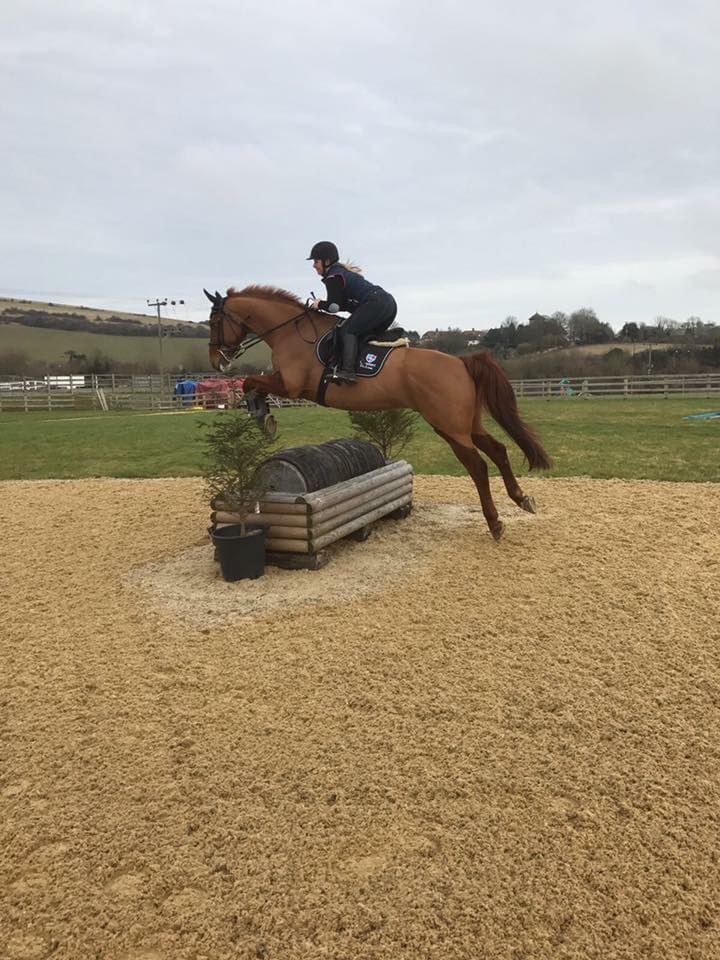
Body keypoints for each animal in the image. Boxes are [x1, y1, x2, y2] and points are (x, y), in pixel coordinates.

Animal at [207, 284, 552, 540]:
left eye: (214, 322)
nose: (216, 361)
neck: (291, 332)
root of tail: (460, 361)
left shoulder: (291, 386)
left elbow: (251, 381)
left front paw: (261, 414)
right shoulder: (288, 386)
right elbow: (253, 383)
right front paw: (261, 414)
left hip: (449, 427)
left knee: (478, 466)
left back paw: (494, 523)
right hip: (466, 424)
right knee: (499, 450)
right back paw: (521, 498)